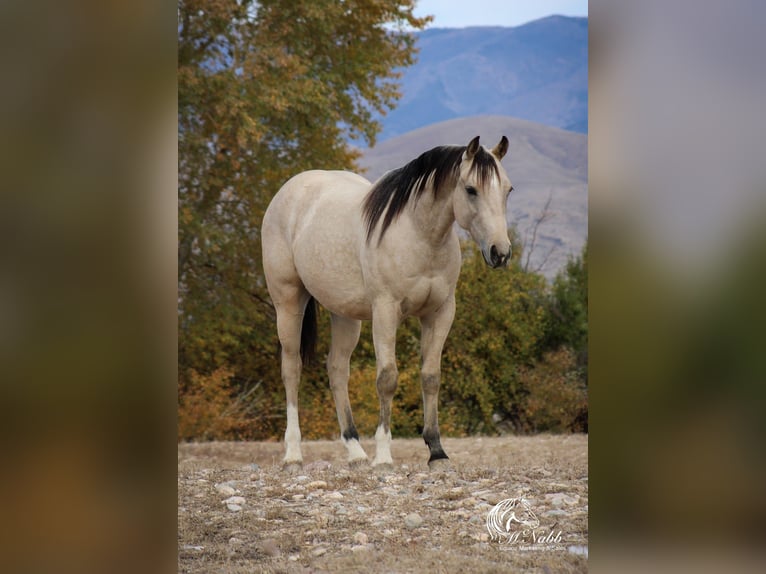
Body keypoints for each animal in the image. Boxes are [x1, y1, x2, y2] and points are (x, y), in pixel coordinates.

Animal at [260, 136, 512, 472]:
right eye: (471, 189)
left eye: (508, 189)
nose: (500, 252)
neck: (419, 234)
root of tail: (288, 191)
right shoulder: (385, 311)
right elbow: (387, 378)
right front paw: (383, 455)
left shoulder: (440, 312)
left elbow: (431, 377)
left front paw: (437, 452)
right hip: (288, 302)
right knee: (291, 369)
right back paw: (293, 454)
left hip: (345, 314)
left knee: (337, 369)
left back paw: (355, 451)